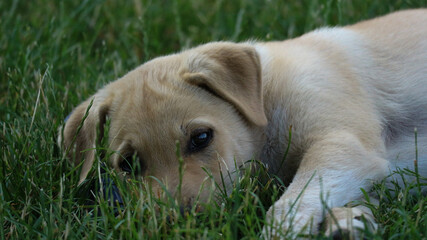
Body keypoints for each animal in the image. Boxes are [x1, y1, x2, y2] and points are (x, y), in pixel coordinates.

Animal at [61, 9, 427, 238]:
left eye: (201, 138)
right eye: (129, 164)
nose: (179, 227)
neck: (264, 101)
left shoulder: (343, 143)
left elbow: (292, 202)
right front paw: (348, 223)